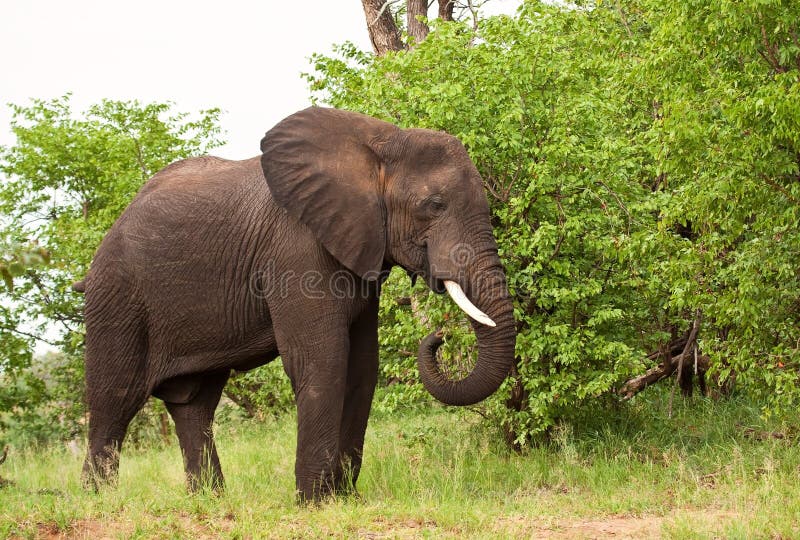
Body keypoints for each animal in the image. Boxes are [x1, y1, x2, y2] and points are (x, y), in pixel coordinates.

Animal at [77, 107, 516, 501]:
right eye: (434, 205)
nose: (438, 337)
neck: (381, 142)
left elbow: (362, 366)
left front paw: (345, 498)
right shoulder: (296, 248)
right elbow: (323, 360)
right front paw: (315, 502)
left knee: (195, 405)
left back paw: (210, 500)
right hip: (117, 298)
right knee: (114, 399)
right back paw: (99, 502)